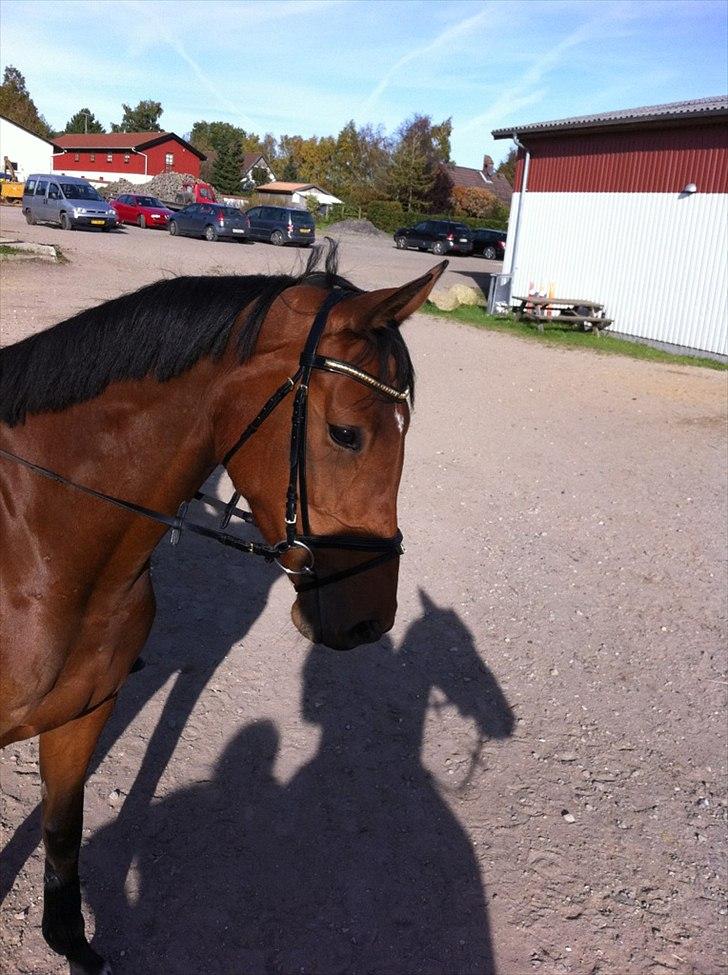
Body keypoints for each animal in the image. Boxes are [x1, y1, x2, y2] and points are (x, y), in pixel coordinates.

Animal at [0, 246, 446, 975]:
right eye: (346, 434)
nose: (370, 620)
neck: (41, 536)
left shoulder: (83, 715)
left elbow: (62, 827)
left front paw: (70, 940)